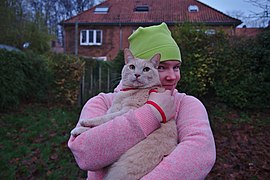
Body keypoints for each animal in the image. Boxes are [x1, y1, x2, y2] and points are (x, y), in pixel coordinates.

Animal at [70, 48, 178, 179]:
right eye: (132, 67)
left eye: (146, 69)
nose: (137, 74)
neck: (129, 91)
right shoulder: (114, 110)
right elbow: (101, 121)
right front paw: (80, 129)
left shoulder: (126, 111)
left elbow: (102, 120)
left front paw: (81, 126)